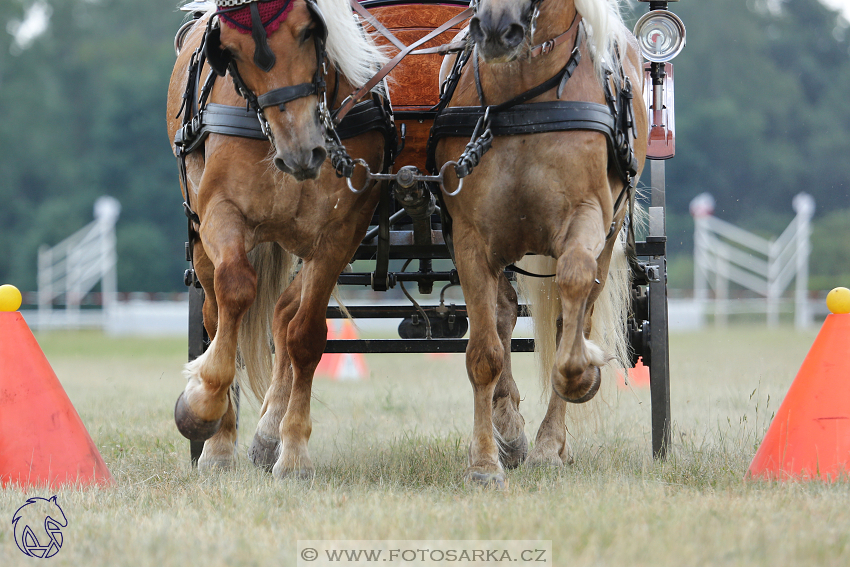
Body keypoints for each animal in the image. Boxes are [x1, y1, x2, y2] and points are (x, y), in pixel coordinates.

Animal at [165, 0, 388, 480]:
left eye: (308, 31)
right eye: (230, 52)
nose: (302, 151)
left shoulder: (341, 233)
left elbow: (305, 334)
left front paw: (295, 451)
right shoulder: (221, 210)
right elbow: (235, 290)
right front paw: (203, 404)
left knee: (284, 314)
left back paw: (268, 434)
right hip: (199, 231)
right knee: (215, 312)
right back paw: (219, 440)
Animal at [434, 0, 644, 488]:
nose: (496, 29)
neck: (524, 100)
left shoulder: (588, 217)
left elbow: (572, 297)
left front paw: (580, 378)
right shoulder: (470, 238)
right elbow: (484, 353)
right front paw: (484, 463)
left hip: (610, 234)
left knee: (575, 312)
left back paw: (551, 443)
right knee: (504, 314)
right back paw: (509, 430)